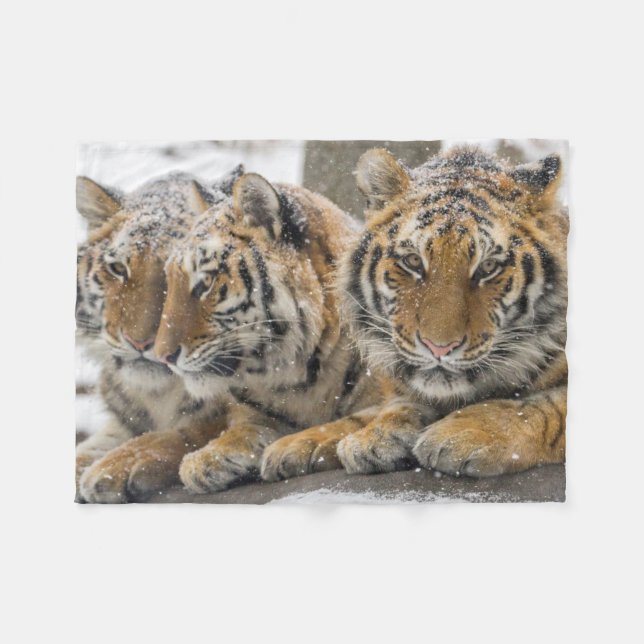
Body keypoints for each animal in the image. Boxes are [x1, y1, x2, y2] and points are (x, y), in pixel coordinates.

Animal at [75, 167, 243, 502]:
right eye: (118, 268)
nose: (139, 342)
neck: (159, 394)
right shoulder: (121, 421)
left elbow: (190, 431)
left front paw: (116, 466)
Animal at [153, 172, 381, 493]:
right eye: (172, 282)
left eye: (206, 283)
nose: (162, 356)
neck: (301, 377)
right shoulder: (257, 412)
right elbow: (245, 428)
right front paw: (205, 458)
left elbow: (358, 420)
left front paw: (295, 445)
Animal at [261, 146, 567, 480]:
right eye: (412, 261)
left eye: (488, 267)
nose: (439, 348)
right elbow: (373, 411)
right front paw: (367, 437)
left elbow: (547, 407)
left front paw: (460, 433)